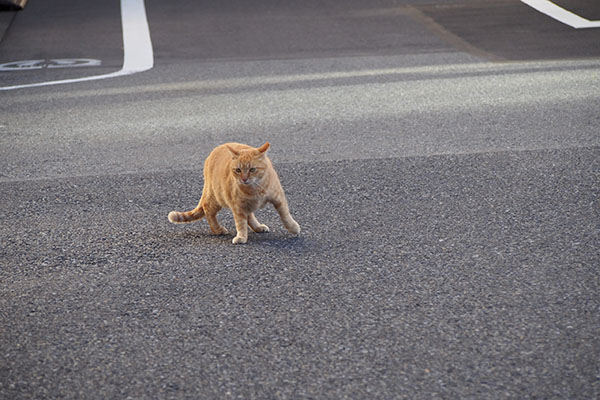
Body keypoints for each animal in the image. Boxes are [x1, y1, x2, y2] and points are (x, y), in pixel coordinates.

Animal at [168, 142, 300, 245]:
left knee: (249, 216)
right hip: (217, 199)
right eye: (238, 170)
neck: (255, 189)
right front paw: (241, 236)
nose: (244, 179)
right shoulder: (238, 206)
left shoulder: (278, 198)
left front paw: (293, 227)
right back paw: (217, 229)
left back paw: (258, 227)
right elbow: (240, 223)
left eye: (252, 169)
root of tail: (213, 152)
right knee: (208, 210)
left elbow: (285, 214)